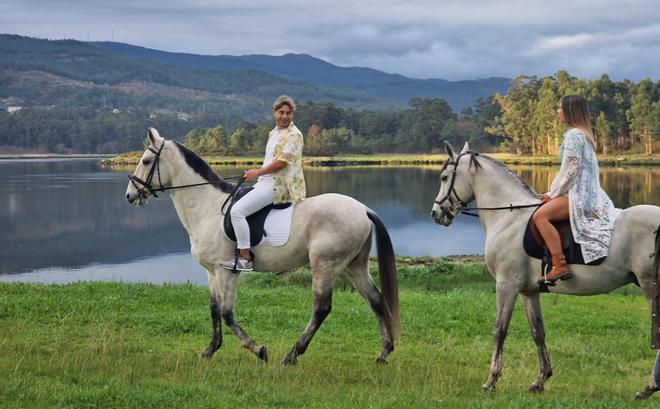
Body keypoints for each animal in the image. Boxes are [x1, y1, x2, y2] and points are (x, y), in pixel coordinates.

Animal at [125, 128, 400, 364]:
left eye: (146, 161)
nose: (130, 195)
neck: (208, 209)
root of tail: (363, 209)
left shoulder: (226, 271)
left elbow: (226, 312)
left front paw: (258, 349)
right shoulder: (212, 271)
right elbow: (214, 309)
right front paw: (210, 350)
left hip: (326, 265)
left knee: (321, 308)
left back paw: (291, 355)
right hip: (354, 266)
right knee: (376, 300)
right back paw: (383, 353)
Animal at [430, 142, 660, 396]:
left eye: (444, 177)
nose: (436, 213)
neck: (508, 216)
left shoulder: (506, 285)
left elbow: (500, 330)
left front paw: (491, 380)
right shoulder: (528, 292)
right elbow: (538, 332)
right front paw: (540, 380)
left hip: (649, 285)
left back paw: (649, 387)